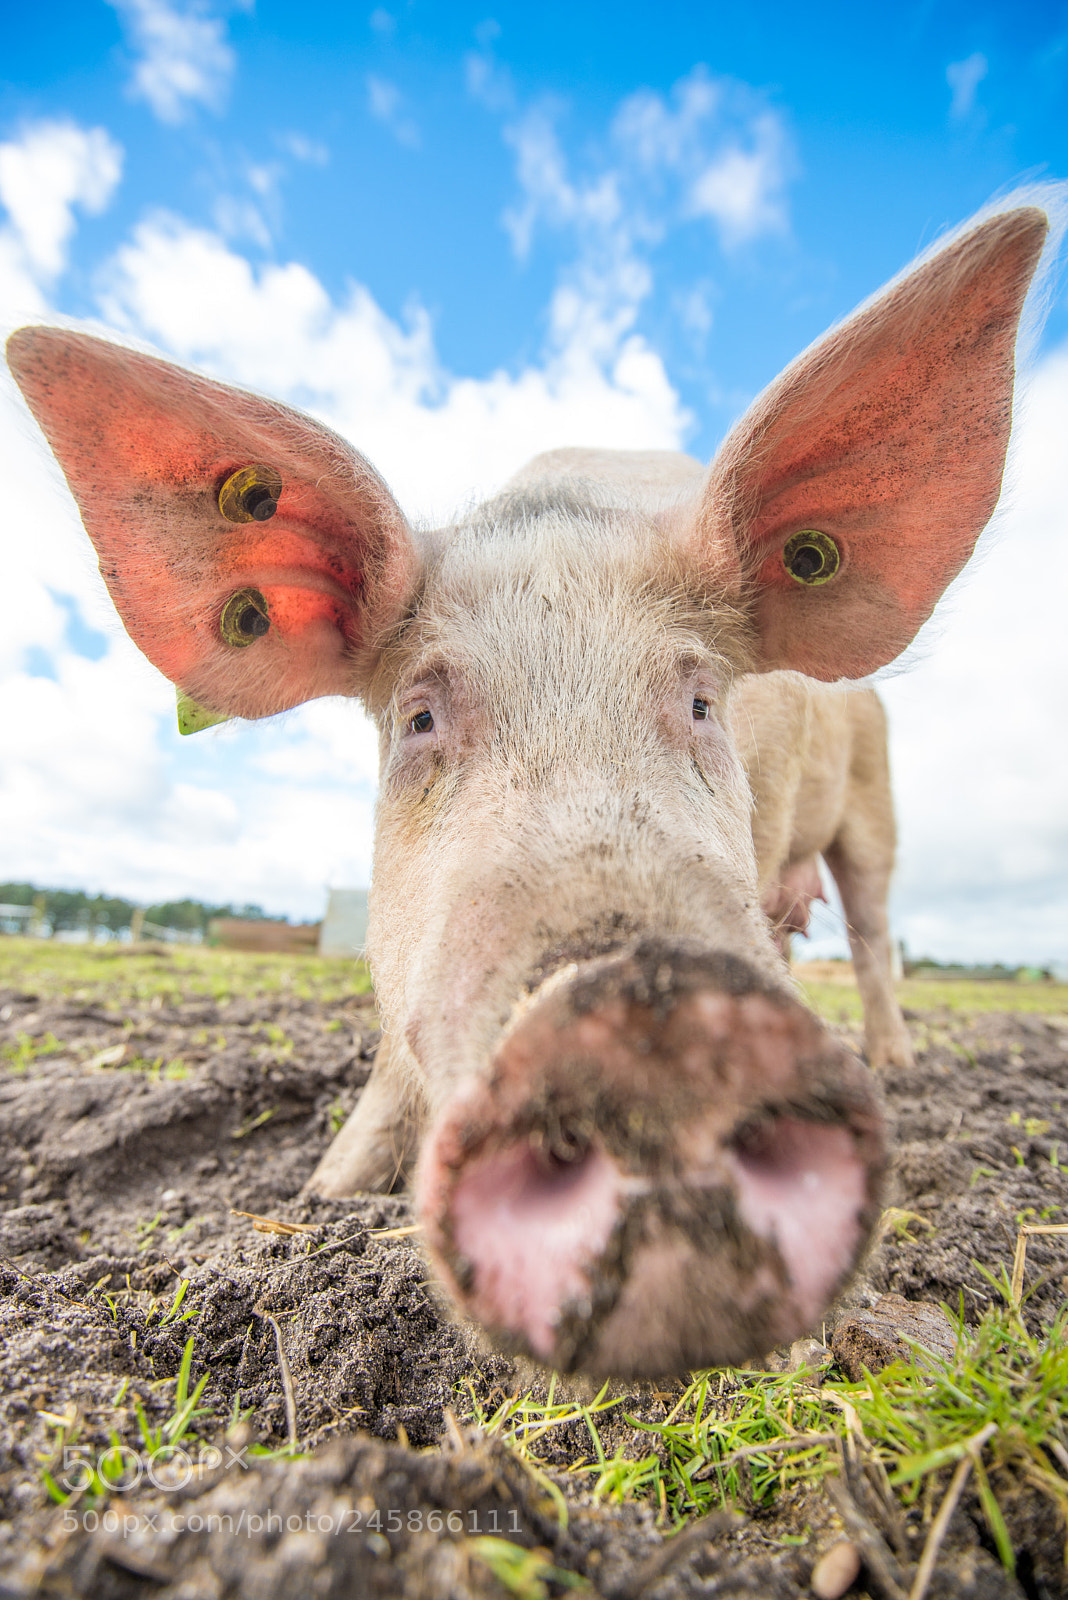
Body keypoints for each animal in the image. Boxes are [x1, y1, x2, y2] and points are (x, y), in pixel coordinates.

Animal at [5, 198, 1052, 1378]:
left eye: (702, 701)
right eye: (418, 719)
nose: (640, 1010)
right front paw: (324, 1195)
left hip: (875, 813)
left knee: (871, 933)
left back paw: (898, 1062)